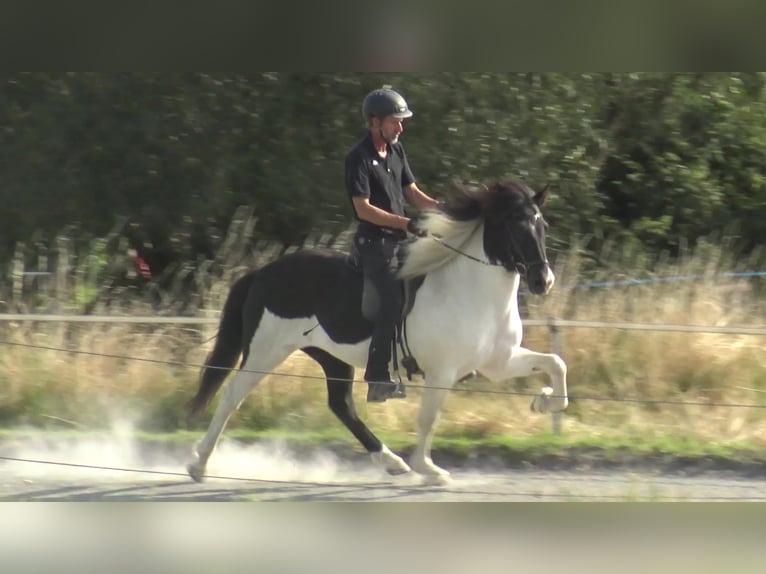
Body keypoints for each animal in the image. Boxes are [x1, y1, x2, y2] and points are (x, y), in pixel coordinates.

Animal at [186, 180, 568, 484]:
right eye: (513, 226)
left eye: (543, 225)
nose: (543, 281)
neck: (470, 291)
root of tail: (263, 272)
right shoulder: (441, 372)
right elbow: (428, 419)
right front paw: (429, 470)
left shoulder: (498, 363)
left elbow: (555, 363)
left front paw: (544, 401)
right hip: (266, 350)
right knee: (232, 396)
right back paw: (199, 464)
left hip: (331, 356)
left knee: (341, 406)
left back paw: (392, 462)